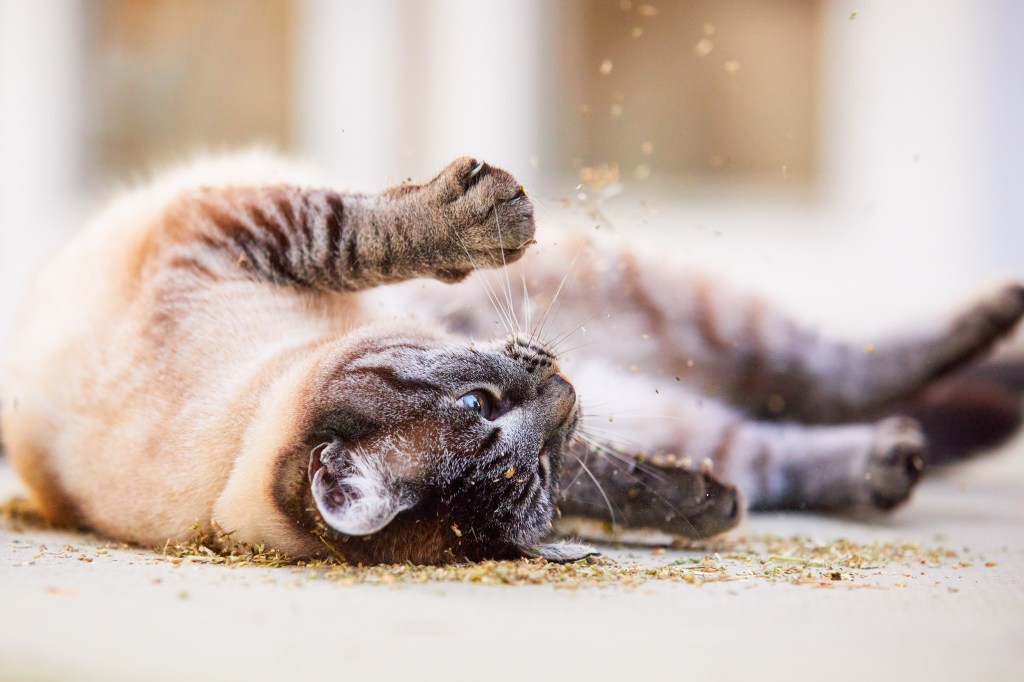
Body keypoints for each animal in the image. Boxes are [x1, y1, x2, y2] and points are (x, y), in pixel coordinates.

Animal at [2, 153, 1024, 561]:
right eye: (517, 454)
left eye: (481, 405)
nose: (560, 391)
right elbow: (614, 479)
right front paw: (701, 509)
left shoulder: (241, 228)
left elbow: (355, 230)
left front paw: (479, 216)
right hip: (698, 386)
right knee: (799, 415)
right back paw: (884, 460)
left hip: (671, 299)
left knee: (817, 373)